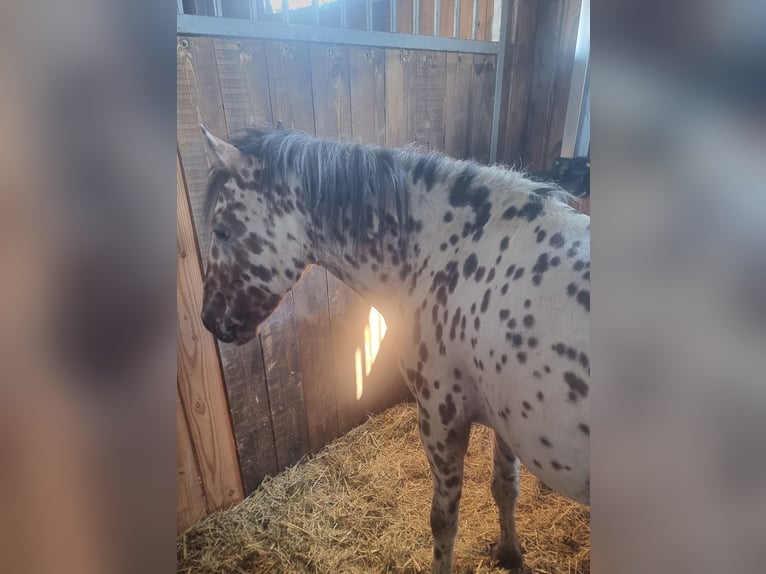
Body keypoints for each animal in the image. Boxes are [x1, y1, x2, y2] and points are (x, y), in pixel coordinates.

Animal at [198, 126, 590, 573]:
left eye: (223, 230)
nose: (210, 319)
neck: (450, 253)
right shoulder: (505, 421)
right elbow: (505, 488)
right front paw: (510, 554)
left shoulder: (442, 419)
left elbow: (443, 522)